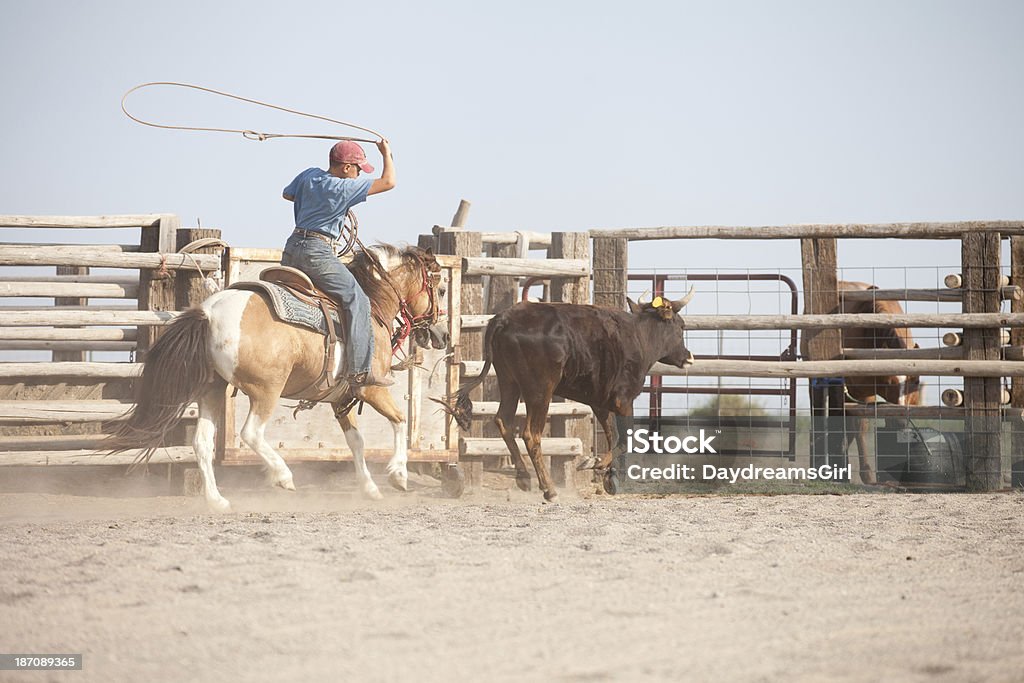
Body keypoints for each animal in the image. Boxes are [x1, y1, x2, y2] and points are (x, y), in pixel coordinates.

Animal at [107, 245, 444, 511]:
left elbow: (356, 441)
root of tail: (210, 313)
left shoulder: (340, 397)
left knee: (202, 442)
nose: (441, 335)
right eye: (440, 289)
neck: (373, 308)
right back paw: (283, 476)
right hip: (266, 390)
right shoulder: (369, 388)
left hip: (211, 389)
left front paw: (370, 488)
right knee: (251, 433)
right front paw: (398, 475)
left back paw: (218, 501)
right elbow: (400, 420)